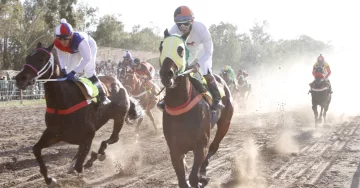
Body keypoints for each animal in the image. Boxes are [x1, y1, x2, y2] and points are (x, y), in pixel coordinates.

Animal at [15, 41, 145, 187]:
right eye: (27, 58)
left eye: (42, 59)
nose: (20, 78)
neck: (64, 102)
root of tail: (120, 84)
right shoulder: (54, 134)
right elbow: (36, 149)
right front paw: (49, 179)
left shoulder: (88, 134)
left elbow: (79, 166)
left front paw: (88, 161)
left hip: (119, 117)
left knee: (113, 138)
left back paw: (98, 155)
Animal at [158, 30, 233, 187]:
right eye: (161, 47)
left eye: (180, 49)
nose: (166, 74)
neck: (180, 105)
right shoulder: (175, 150)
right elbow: (183, 180)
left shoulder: (200, 146)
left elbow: (193, 177)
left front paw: (200, 178)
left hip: (225, 123)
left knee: (214, 146)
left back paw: (203, 173)